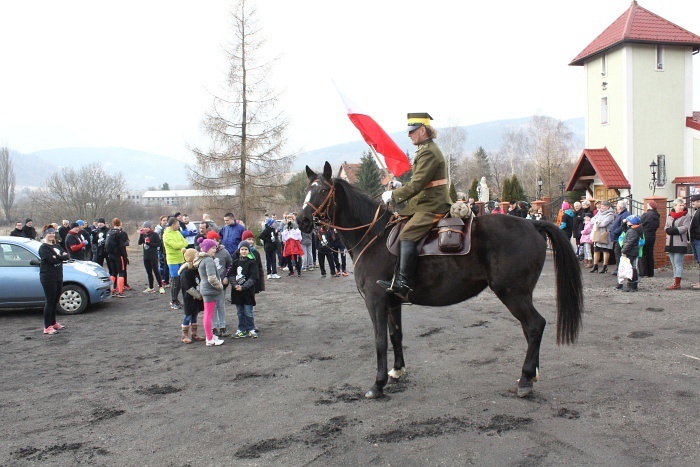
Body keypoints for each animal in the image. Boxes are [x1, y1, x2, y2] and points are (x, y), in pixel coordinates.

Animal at [298, 162, 584, 398]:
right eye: (307, 190)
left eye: (322, 190)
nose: (302, 221)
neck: (373, 235)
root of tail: (533, 224)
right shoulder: (392, 301)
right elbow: (395, 335)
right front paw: (397, 371)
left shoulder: (375, 300)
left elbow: (379, 340)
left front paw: (377, 384)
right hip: (520, 294)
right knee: (530, 329)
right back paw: (531, 375)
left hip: (513, 293)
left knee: (535, 326)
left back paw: (525, 380)